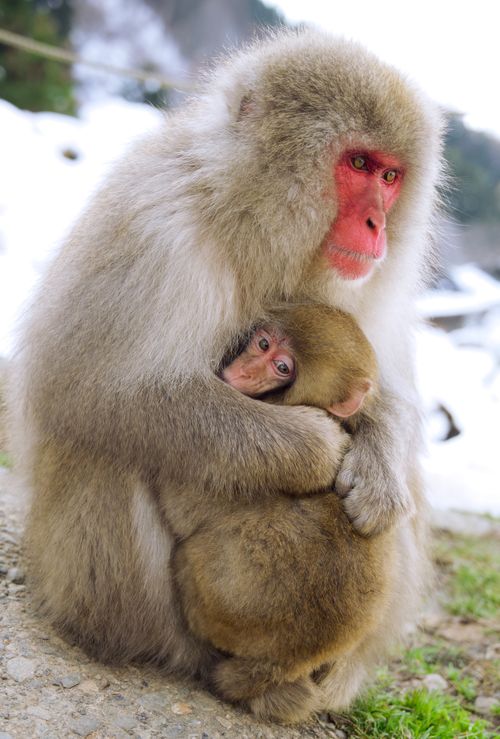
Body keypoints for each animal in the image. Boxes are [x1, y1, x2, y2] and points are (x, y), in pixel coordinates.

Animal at [9, 29, 443, 722]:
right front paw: (311, 447)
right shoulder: (154, 225)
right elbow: (100, 390)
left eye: (390, 175)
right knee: (114, 443)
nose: (377, 223)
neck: (249, 219)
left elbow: (385, 391)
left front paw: (376, 471)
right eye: (357, 163)